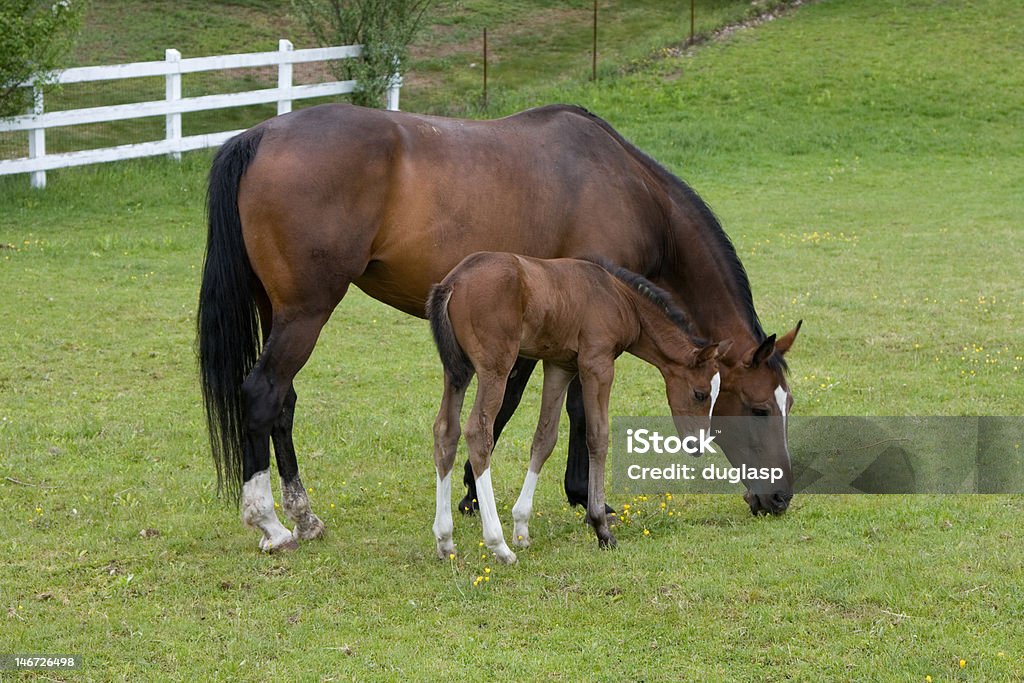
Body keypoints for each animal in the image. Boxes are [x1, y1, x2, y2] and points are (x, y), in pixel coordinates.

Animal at [423, 253, 729, 565]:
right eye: (701, 394)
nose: (698, 445)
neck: (620, 298)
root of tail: (453, 281)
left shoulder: (560, 365)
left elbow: (544, 439)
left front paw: (521, 527)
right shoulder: (597, 364)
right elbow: (598, 437)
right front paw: (601, 529)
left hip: (457, 370)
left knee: (446, 431)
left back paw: (445, 540)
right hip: (495, 367)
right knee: (477, 433)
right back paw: (498, 545)